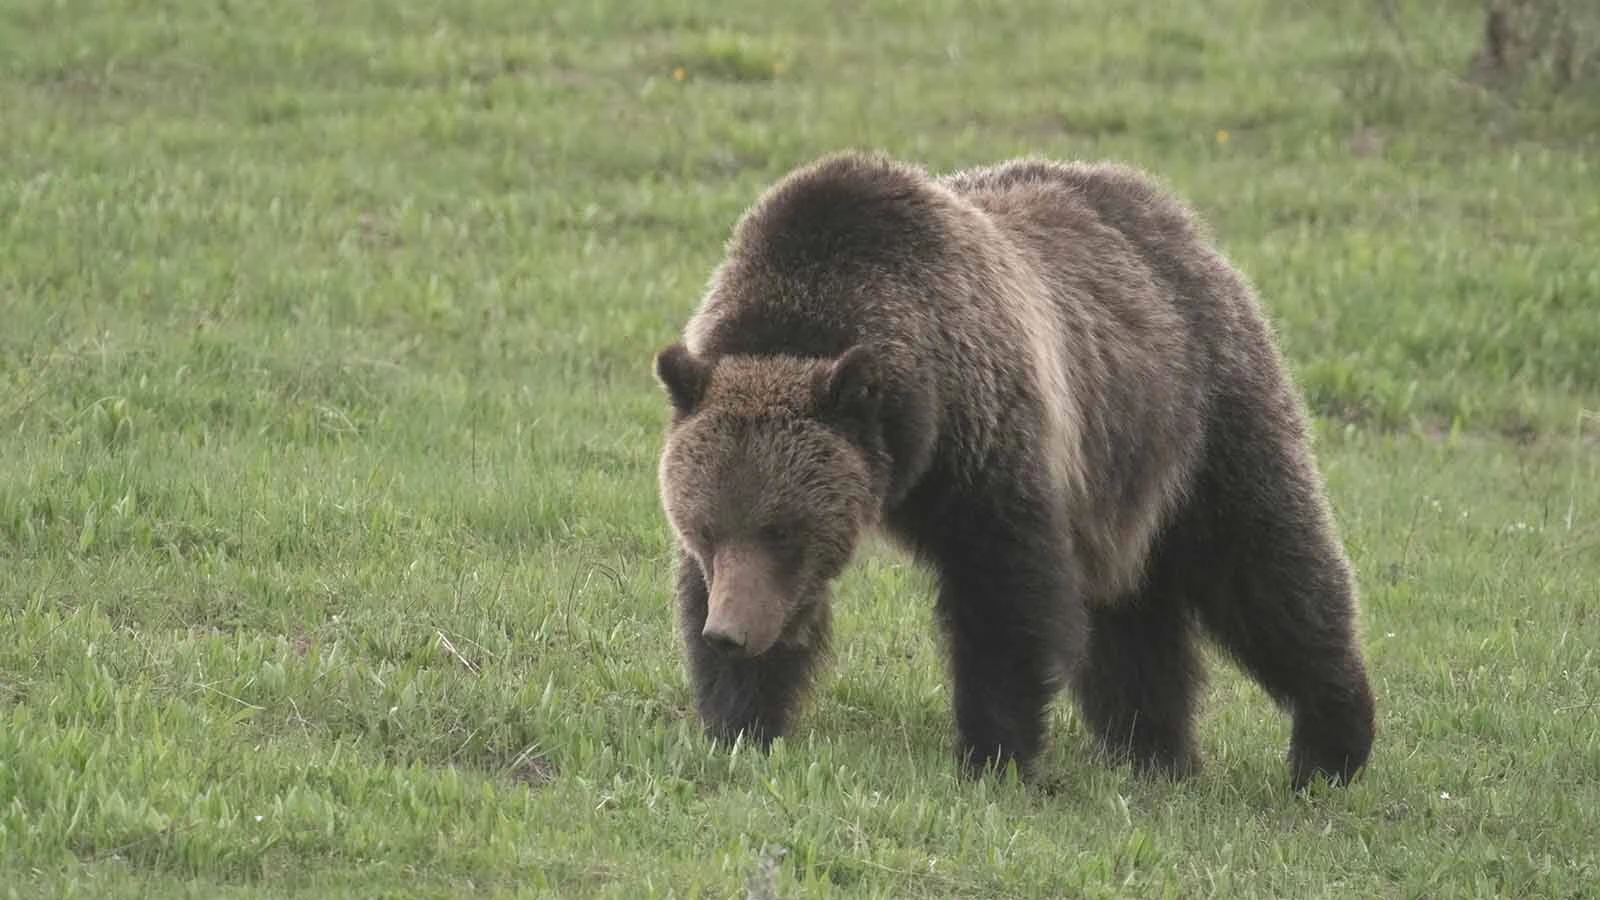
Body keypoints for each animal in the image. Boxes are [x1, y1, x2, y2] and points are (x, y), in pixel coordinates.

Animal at [652, 151, 1375, 789]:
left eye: (782, 530)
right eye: (706, 530)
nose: (729, 634)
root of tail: (1177, 219)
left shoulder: (984, 434)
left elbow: (1003, 592)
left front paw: (992, 753)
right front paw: (741, 721)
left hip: (1206, 419)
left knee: (1267, 565)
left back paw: (1332, 742)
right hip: (1118, 480)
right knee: (1132, 615)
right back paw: (1152, 748)